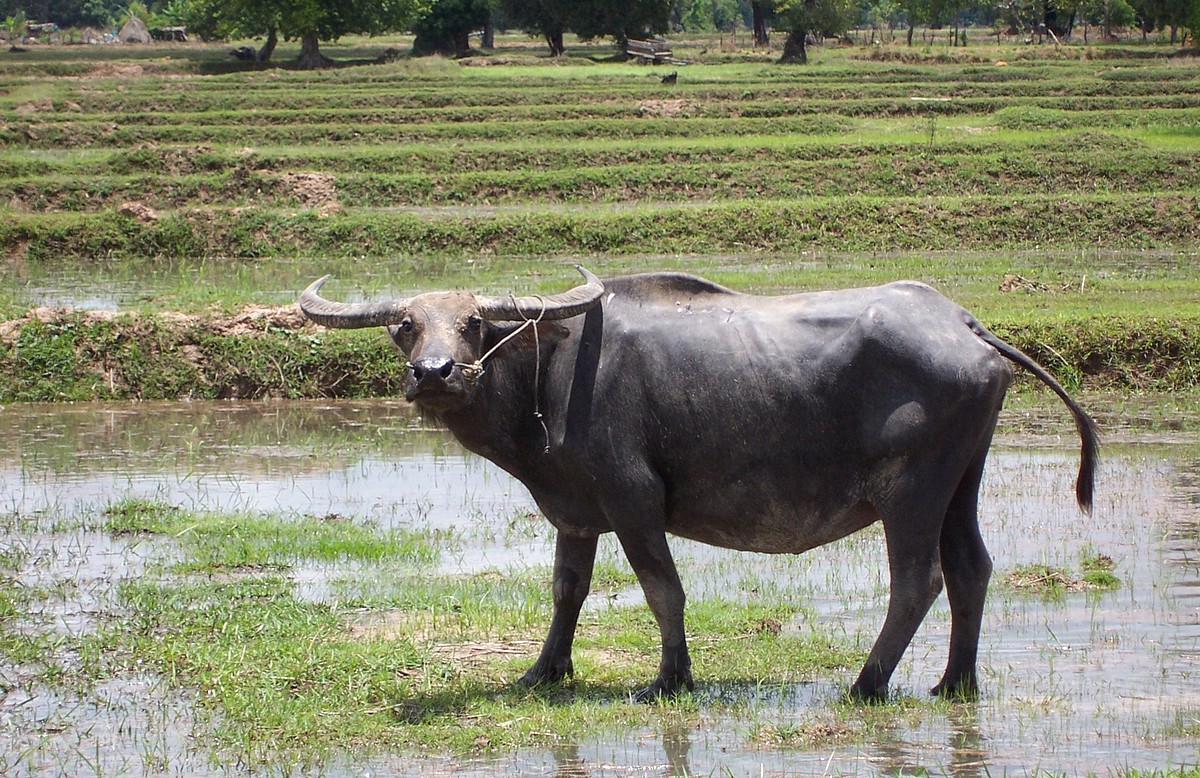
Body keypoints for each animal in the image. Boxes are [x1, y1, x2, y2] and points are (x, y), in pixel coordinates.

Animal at [302, 267, 1099, 705]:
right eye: (406, 326)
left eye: (473, 323)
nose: (434, 373)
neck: (549, 373)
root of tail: (962, 323)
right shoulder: (576, 513)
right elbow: (566, 591)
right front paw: (545, 670)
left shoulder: (633, 500)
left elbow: (664, 590)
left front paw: (670, 678)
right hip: (963, 481)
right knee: (971, 569)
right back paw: (955, 681)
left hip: (913, 490)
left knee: (918, 580)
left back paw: (866, 685)